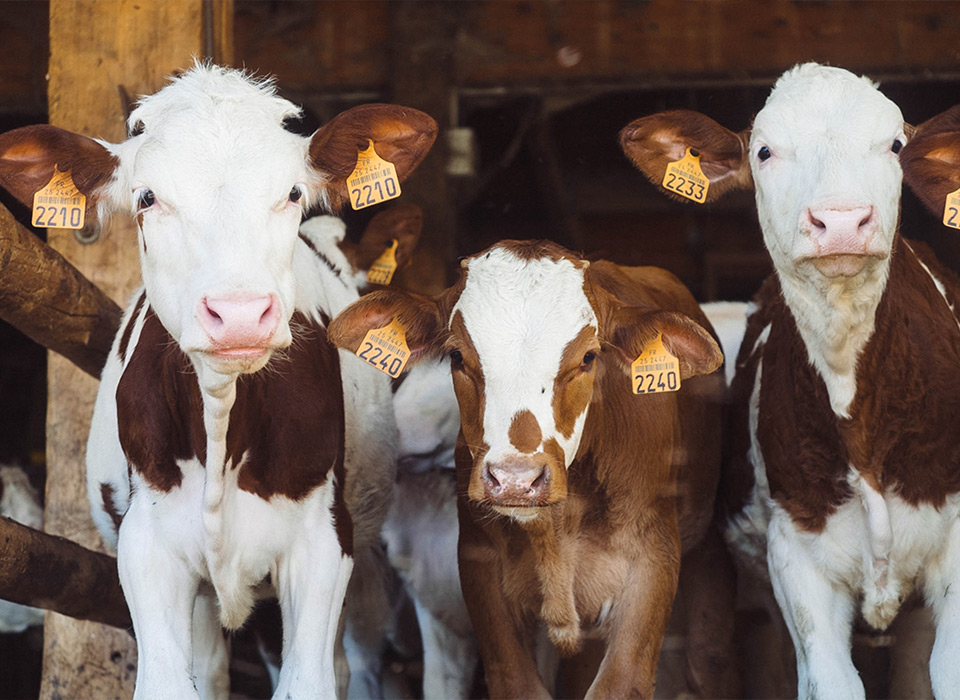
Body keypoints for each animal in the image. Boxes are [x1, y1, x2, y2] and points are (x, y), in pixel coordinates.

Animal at [0, 63, 432, 696]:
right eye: (147, 197)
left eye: (293, 193)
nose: (240, 314)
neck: (221, 420)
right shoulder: (147, 545)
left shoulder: (323, 543)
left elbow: (307, 680)